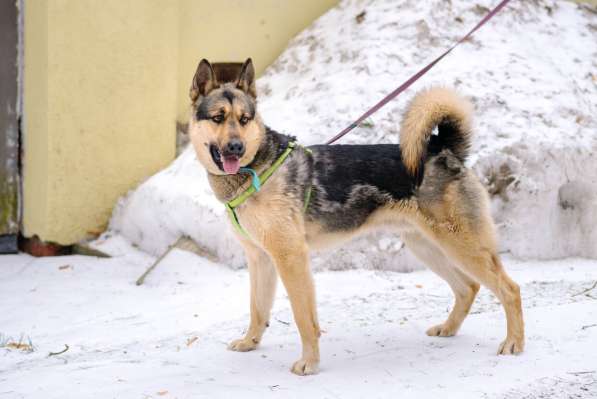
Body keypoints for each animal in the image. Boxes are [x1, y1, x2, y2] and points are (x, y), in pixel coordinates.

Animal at [185, 57, 520, 376]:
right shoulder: (260, 259)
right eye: (218, 117)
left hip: (461, 246)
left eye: (244, 119)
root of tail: (444, 149)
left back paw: (514, 343)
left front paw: (309, 363)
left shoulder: (291, 258)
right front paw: (250, 343)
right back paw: (449, 329)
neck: (257, 168)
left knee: (509, 289)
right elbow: (258, 310)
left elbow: (304, 319)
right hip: (427, 247)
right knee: (469, 287)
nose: (236, 147)